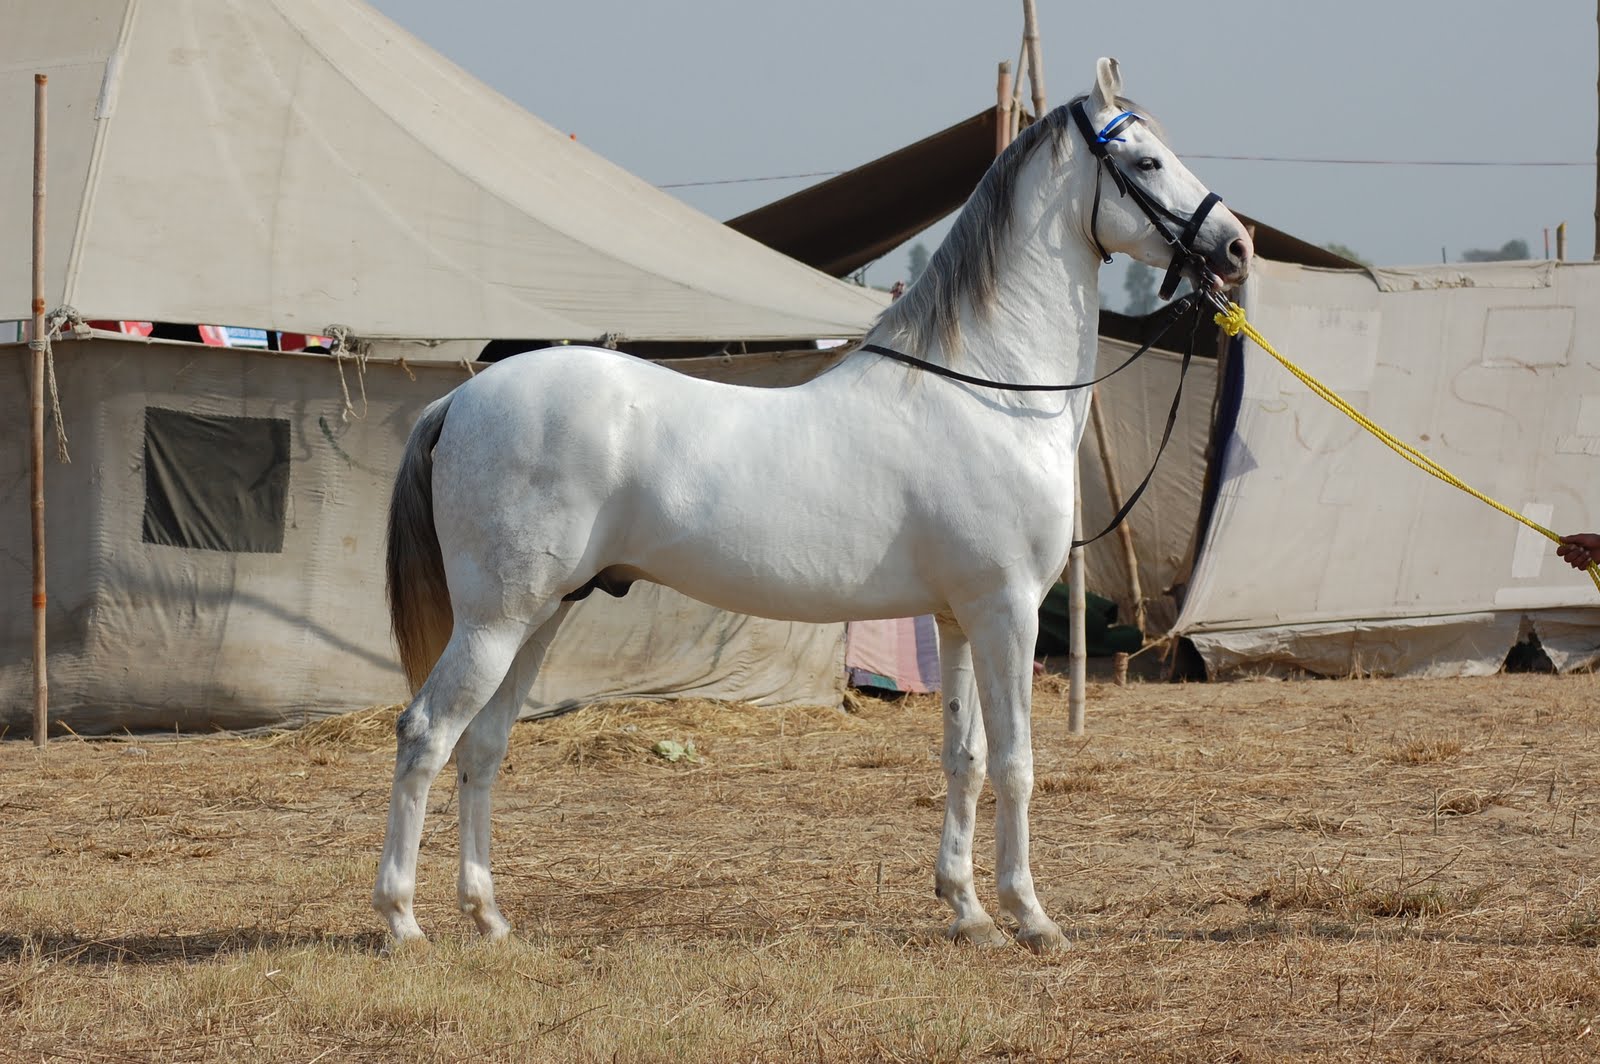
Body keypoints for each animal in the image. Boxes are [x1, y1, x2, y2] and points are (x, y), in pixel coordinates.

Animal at [372, 57, 1252, 952]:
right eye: (1145, 161)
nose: (1236, 247)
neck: (993, 391)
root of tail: (462, 399)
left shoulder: (959, 617)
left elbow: (964, 757)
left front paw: (965, 909)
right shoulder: (1007, 611)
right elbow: (1015, 763)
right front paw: (1031, 917)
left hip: (539, 617)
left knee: (483, 745)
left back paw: (488, 916)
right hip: (496, 621)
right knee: (425, 734)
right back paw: (402, 921)